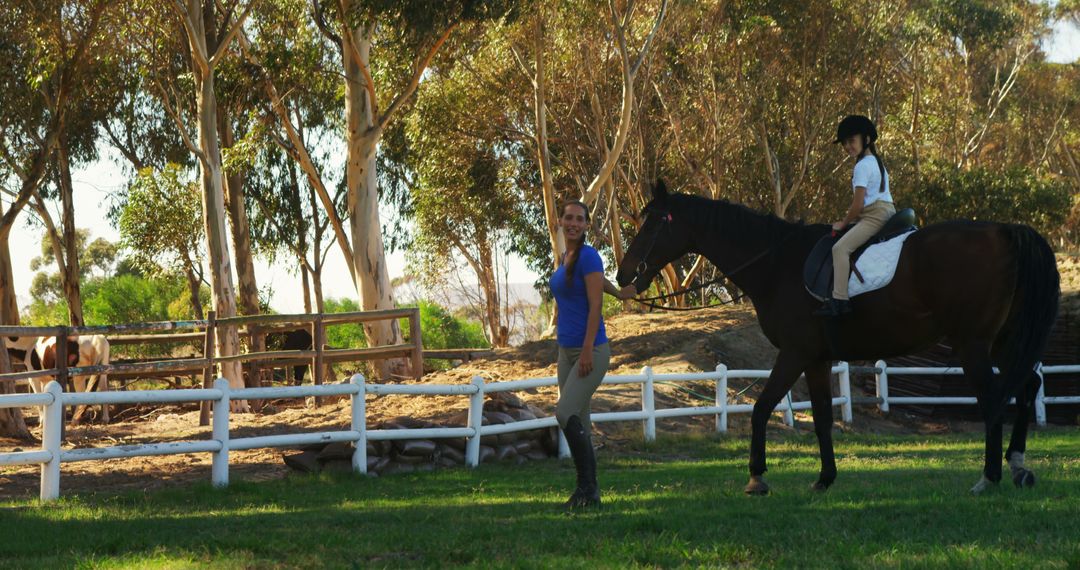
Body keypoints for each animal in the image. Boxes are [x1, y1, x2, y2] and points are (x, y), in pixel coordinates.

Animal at [622, 179, 1058, 494]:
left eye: (653, 222)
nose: (625, 273)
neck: (776, 263)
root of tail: (1004, 231)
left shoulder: (794, 353)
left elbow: (761, 408)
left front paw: (757, 477)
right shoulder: (817, 359)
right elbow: (822, 419)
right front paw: (825, 478)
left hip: (972, 345)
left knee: (994, 400)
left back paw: (990, 476)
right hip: (1001, 342)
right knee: (1027, 386)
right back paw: (1018, 467)